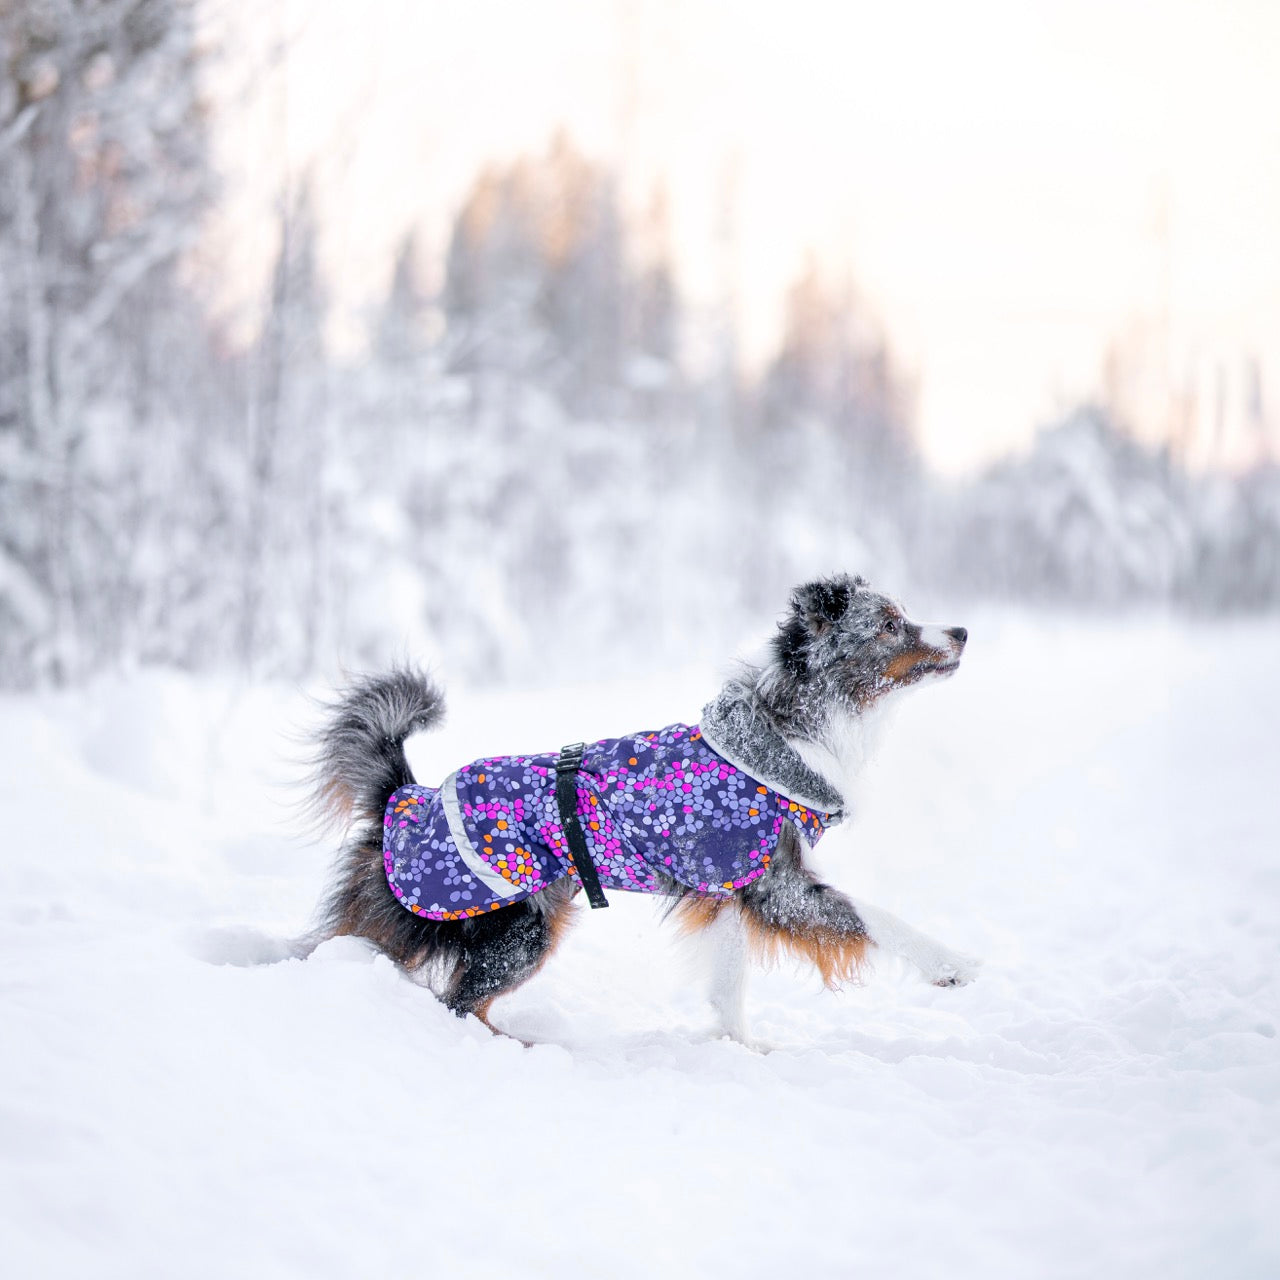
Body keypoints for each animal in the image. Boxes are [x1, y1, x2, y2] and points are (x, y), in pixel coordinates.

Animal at [307, 576, 977, 1044]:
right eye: (890, 624)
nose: (962, 632)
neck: (788, 730)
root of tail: (404, 796)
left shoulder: (730, 884)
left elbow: (729, 982)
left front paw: (738, 1048)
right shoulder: (777, 886)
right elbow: (873, 916)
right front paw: (952, 965)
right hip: (520, 927)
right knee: (459, 1003)